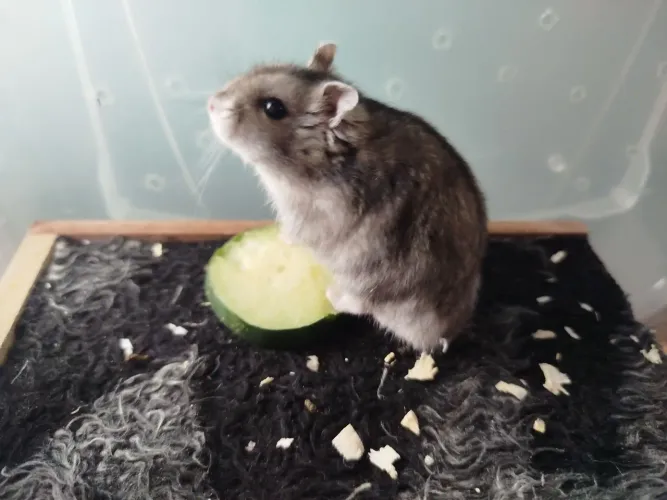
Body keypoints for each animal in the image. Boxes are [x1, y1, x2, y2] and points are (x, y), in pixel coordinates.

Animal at [208, 43, 488, 353]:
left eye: (273, 108)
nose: (210, 103)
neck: (326, 153)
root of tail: (447, 333)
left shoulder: (304, 215)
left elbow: (294, 234)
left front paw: (282, 240)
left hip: (374, 278)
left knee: (362, 303)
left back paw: (334, 295)